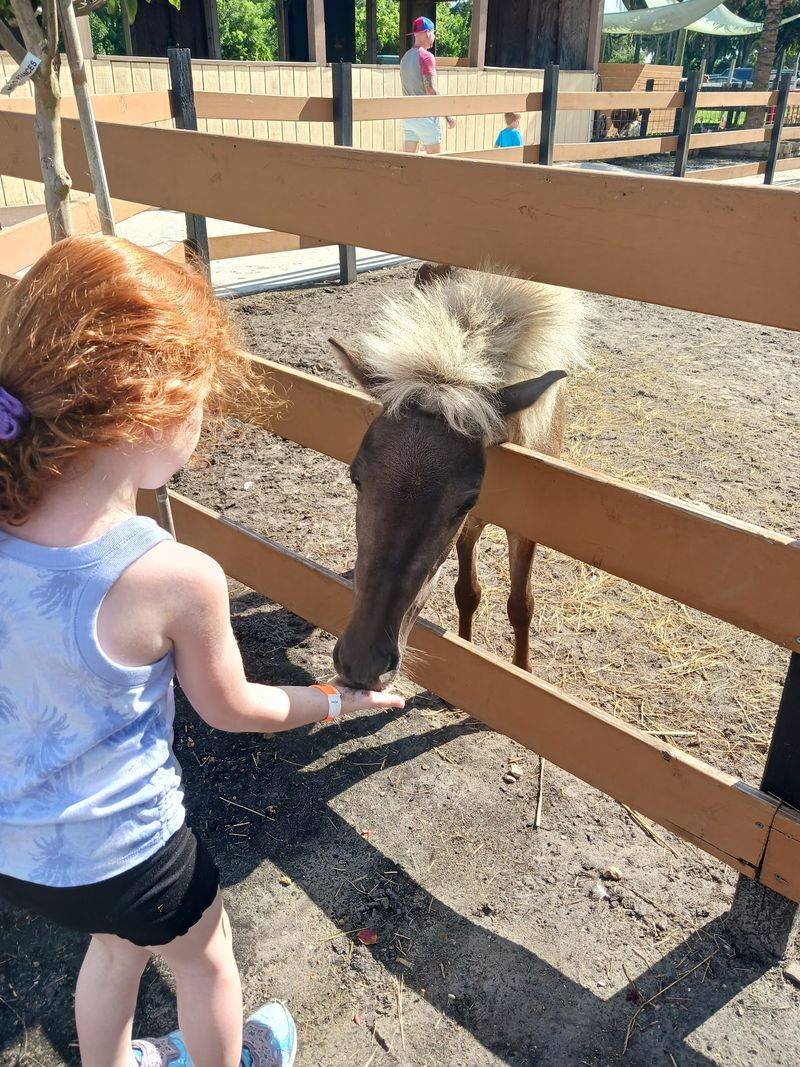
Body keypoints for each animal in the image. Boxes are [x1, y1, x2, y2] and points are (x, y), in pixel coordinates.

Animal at [329, 264, 585, 692]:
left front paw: (522, 670)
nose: (363, 664)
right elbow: (467, 591)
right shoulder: (471, 528)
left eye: (465, 499)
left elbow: (521, 604)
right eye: (356, 478)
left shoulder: (524, 526)